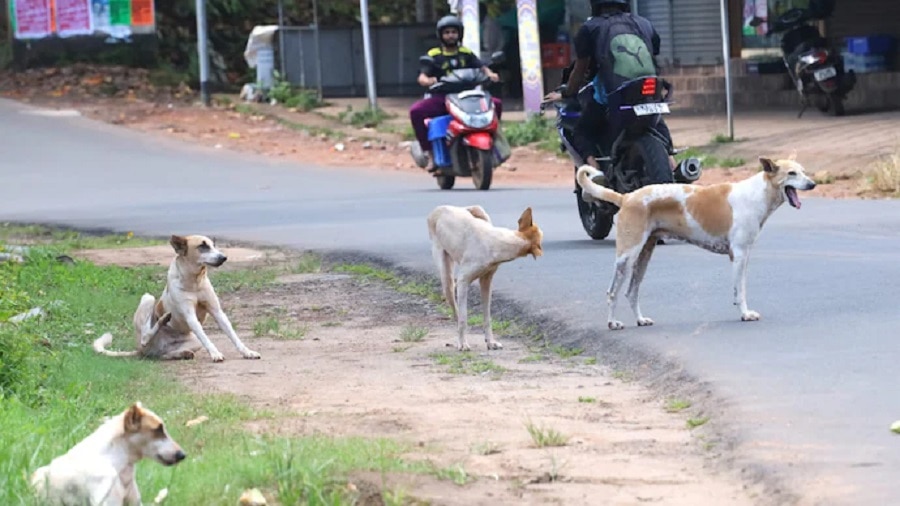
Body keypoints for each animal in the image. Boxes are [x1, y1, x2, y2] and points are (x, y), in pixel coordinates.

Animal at [92, 235, 258, 362]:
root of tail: (142, 350)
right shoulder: (190, 316)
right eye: (202, 246)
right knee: (146, 335)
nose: (224, 257)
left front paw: (247, 351)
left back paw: (182, 353)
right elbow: (206, 338)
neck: (194, 281)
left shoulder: (217, 312)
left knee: (163, 356)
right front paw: (215, 353)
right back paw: (162, 321)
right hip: (148, 299)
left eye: (213, 246)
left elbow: (233, 334)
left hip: (192, 342)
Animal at [428, 204, 544, 350]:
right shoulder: (463, 281)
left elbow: (487, 316)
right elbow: (463, 318)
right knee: (456, 312)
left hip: (479, 211)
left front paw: (490, 341)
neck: (499, 242)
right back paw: (460, 338)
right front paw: (463, 343)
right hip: (447, 279)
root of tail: (439, 208)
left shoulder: (486, 282)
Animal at [576, 156, 816, 330]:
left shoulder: (742, 256)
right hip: (627, 257)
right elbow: (741, 291)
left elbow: (739, 289)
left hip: (643, 256)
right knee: (613, 293)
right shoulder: (739, 254)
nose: (813, 184)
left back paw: (640, 320)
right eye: (791, 173)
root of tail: (626, 198)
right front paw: (745, 314)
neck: (759, 193)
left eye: (803, 171)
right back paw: (612, 323)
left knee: (631, 292)